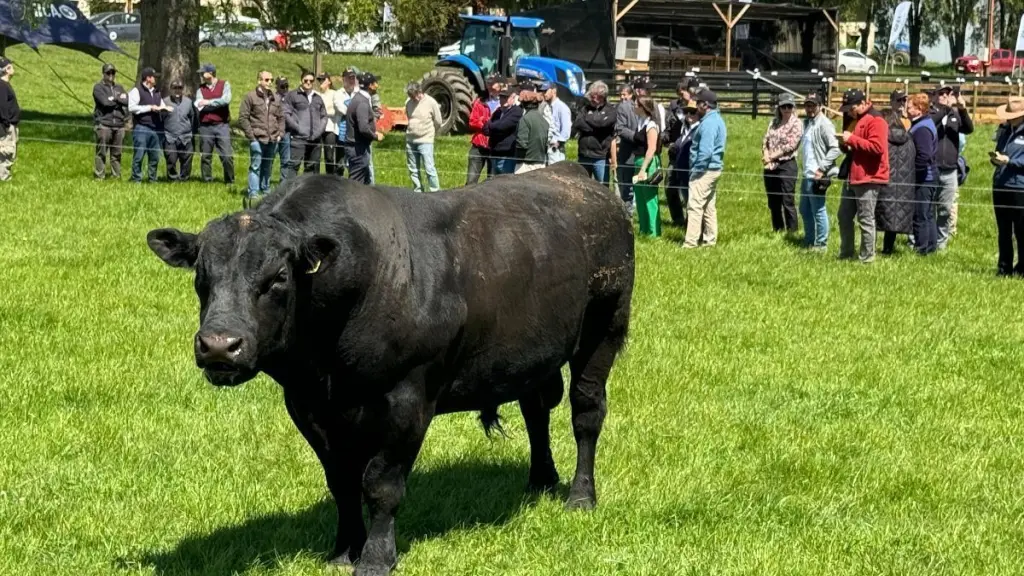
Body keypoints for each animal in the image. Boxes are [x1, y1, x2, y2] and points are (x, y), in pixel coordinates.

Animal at [146, 161, 630, 573]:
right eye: (201, 275)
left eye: (278, 278)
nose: (219, 346)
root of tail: (576, 177)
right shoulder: (307, 404)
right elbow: (341, 480)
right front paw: (344, 550)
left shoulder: (407, 400)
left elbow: (381, 484)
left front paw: (377, 557)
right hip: (534, 353)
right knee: (536, 409)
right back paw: (541, 480)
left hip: (604, 327)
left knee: (586, 412)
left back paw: (580, 495)